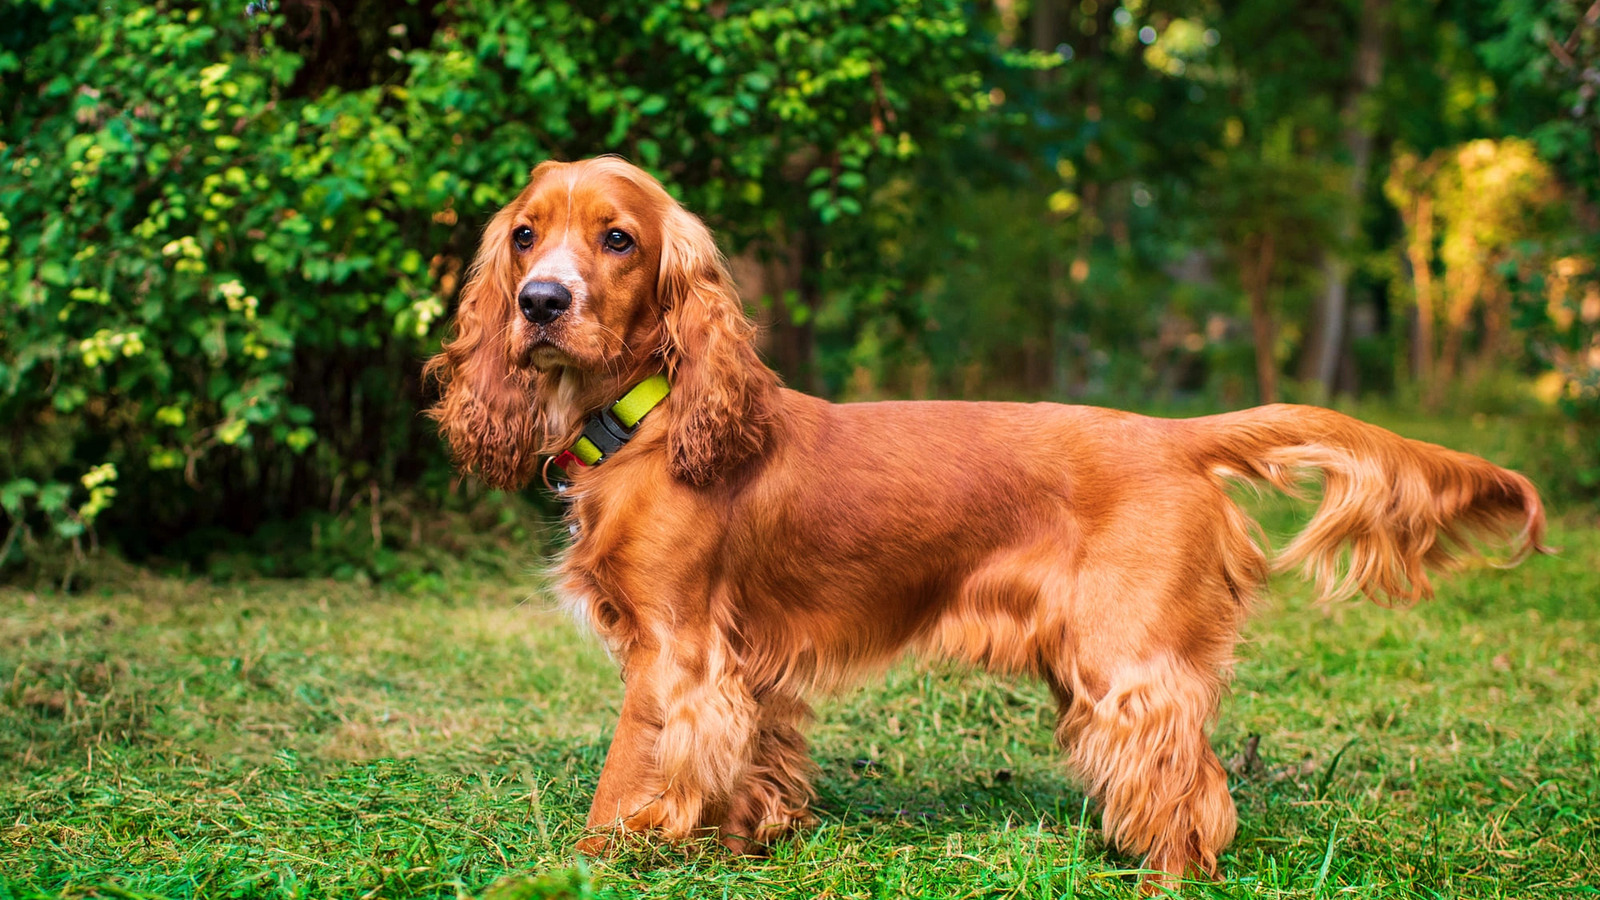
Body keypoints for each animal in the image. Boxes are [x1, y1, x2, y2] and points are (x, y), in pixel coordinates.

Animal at [425, 156, 1546, 885]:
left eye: (617, 239)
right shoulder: (748, 666)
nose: (539, 300)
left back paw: (1164, 873)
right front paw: (746, 840)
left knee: (1190, 783)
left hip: (1125, 659)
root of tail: (1176, 434)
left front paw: (592, 860)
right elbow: (755, 765)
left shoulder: (676, 651)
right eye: (524, 234)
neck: (655, 416)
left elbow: (625, 776)